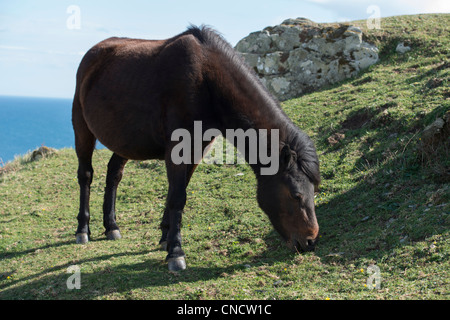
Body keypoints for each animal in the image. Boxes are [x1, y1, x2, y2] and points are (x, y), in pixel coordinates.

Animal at [72, 25, 320, 272]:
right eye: (296, 195)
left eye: (314, 191)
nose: (310, 242)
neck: (205, 79)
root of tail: (93, 53)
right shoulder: (177, 149)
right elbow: (177, 197)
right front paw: (176, 253)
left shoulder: (197, 149)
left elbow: (177, 191)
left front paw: (166, 237)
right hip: (82, 129)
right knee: (86, 175)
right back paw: (83, 230)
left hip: (125, 141)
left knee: (114, 174)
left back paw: (111, 226)